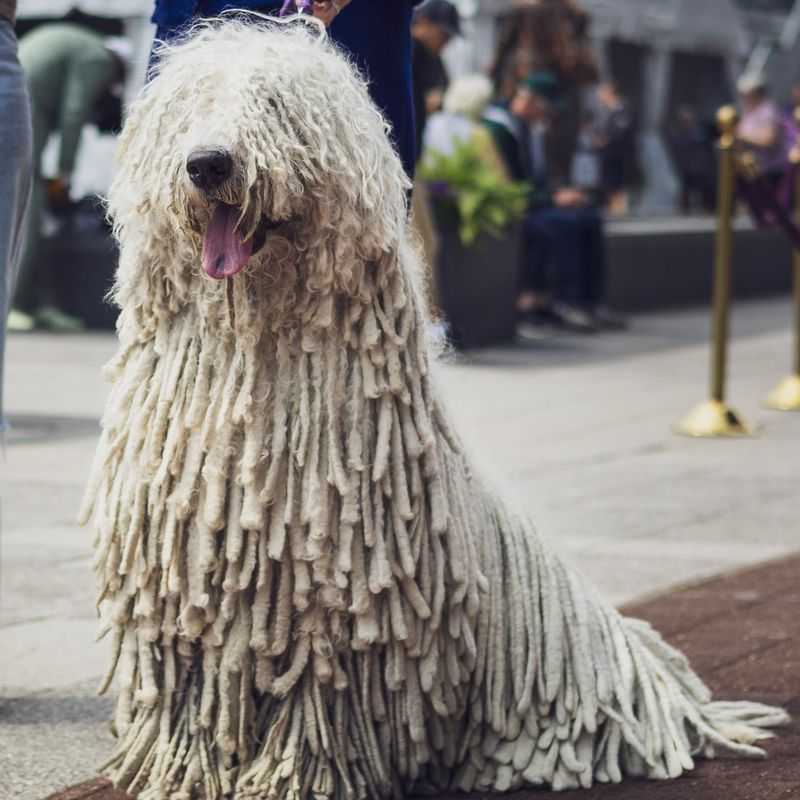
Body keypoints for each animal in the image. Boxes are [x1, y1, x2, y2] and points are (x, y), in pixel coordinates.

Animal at [81, 14, 788, 800]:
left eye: (274, 106)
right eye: (190, 107)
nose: (207, 162)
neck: (257, 355)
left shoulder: (341, 598)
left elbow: (318, 699)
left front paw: (300, 776)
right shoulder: (185, 585)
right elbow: (198, 687)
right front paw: (189, 770)